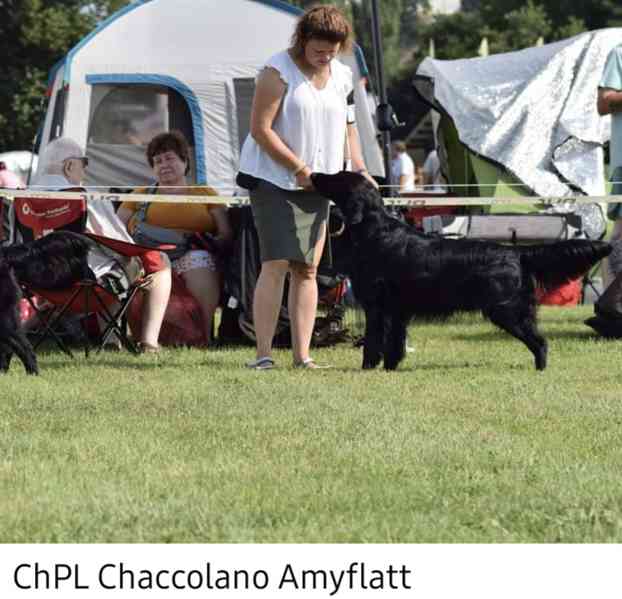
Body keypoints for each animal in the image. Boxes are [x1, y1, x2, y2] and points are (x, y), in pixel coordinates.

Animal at [312, 171, 616, 372]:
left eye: (336, 177)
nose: (313, 173)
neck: (375, 232)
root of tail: (517, 252)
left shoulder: (377, 306)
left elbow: (373, 343)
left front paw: (368, 368)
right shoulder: (397, 311)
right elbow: (394, 345)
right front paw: (390, 368)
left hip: (506, 311)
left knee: (540, 342)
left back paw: (539, 369)